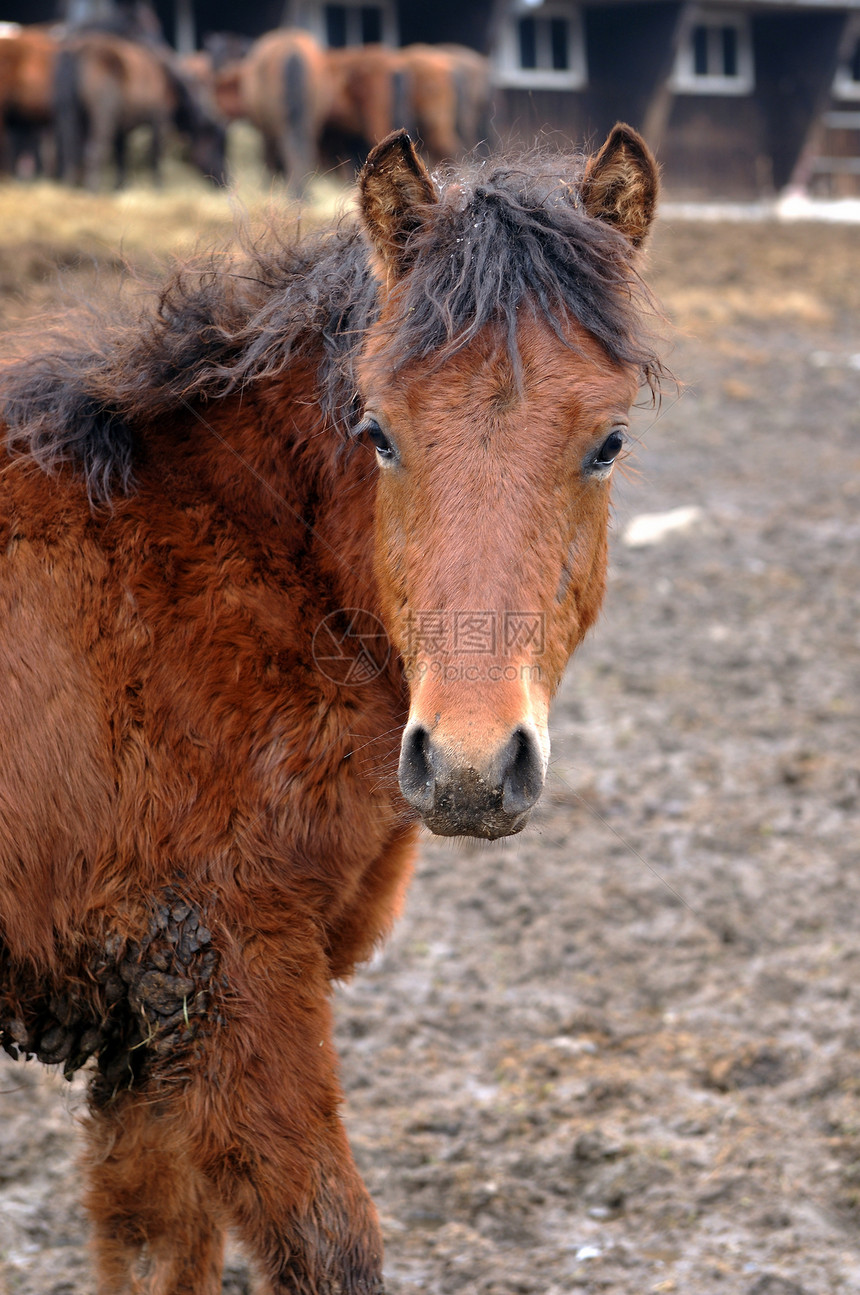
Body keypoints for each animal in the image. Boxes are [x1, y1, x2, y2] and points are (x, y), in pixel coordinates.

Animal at [0, 123, 663, 1295]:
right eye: (379, 432)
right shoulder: (235, 973)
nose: (469, 765)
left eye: (607, 442)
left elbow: (152, 1241)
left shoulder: (149, 1026)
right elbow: (327, 1242)